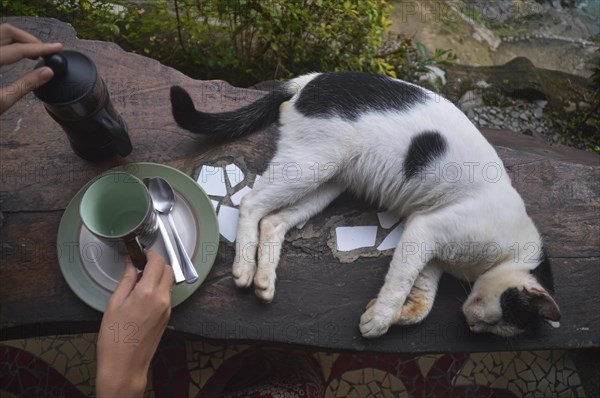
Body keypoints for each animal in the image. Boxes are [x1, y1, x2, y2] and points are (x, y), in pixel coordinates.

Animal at [170, 71, 564, 338]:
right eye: (494, 315)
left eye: (494, 328)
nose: (470, 324)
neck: (507, 252)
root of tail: (313, 77)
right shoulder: (424, 231)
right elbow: (399, 282)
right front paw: (379, 320)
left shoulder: (431, 255)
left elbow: (422, 301)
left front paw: (394, 316)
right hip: (309, 166)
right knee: (251, 202)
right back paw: (243, 269)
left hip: (327, 182)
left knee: (274, 221)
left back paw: (265, 280)